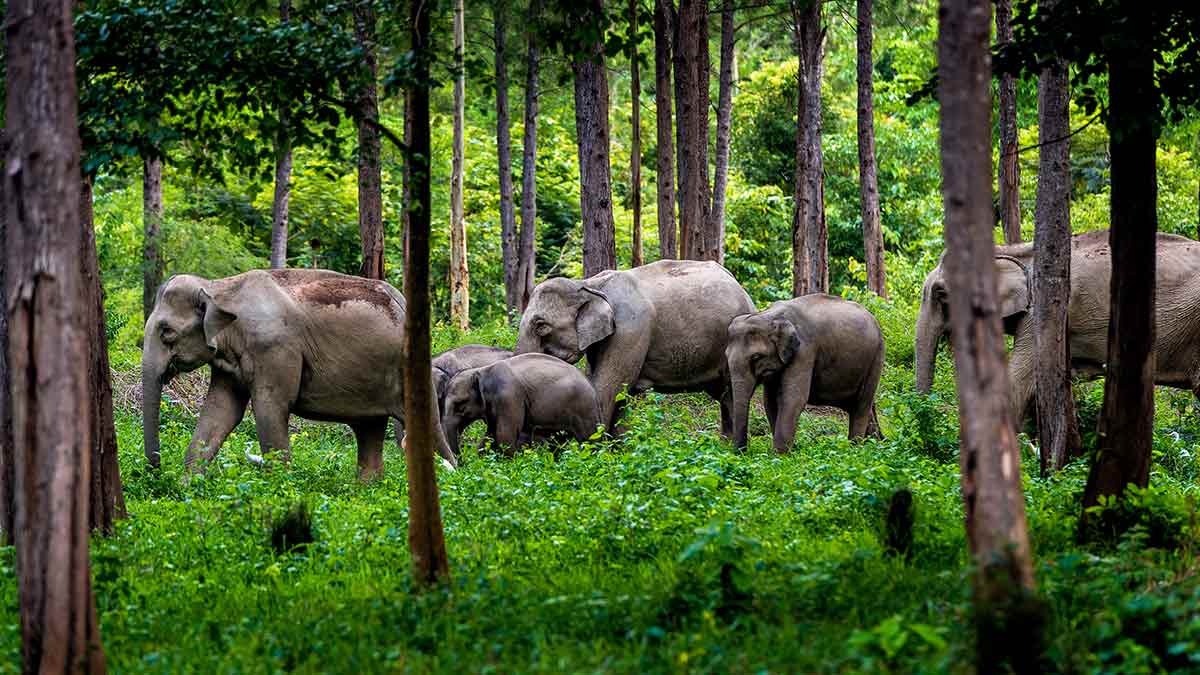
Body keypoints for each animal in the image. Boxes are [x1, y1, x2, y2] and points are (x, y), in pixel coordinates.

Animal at [141, 268, 457, 479]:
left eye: (166, 332)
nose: (157, 471)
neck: (220, 287)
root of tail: (402, 301)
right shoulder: (228, 362)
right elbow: (221, 411)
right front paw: (188, 487)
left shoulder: (275, 350)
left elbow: (270, 408)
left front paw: (279, 491)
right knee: (369, 429)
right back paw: (367, 488)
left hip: (410, 368)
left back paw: (451, 478)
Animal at [440, 353, 600, 456]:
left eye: (460, 405)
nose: (462, 463)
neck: (482, 370)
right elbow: (490, 435)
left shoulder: (508, 397)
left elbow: (504, 435)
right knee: (558, 442)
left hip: (584, 408)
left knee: (590, 439)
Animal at [515, 259, 756, 433]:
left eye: (541, 326)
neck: (589, 284)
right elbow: (620, 396)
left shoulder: (631, 330)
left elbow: (606, 389)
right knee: (726, 397)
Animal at [726, 294, 884, 452]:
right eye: (726, 355)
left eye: (756, 357)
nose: (741, 452)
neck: (769, 316)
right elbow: (770, 401)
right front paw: (790, 450)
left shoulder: (804, 351)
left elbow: (792, 398)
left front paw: (779, 455)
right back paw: (876, 444)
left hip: (876, 358)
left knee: (861, 405)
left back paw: (855, 449)